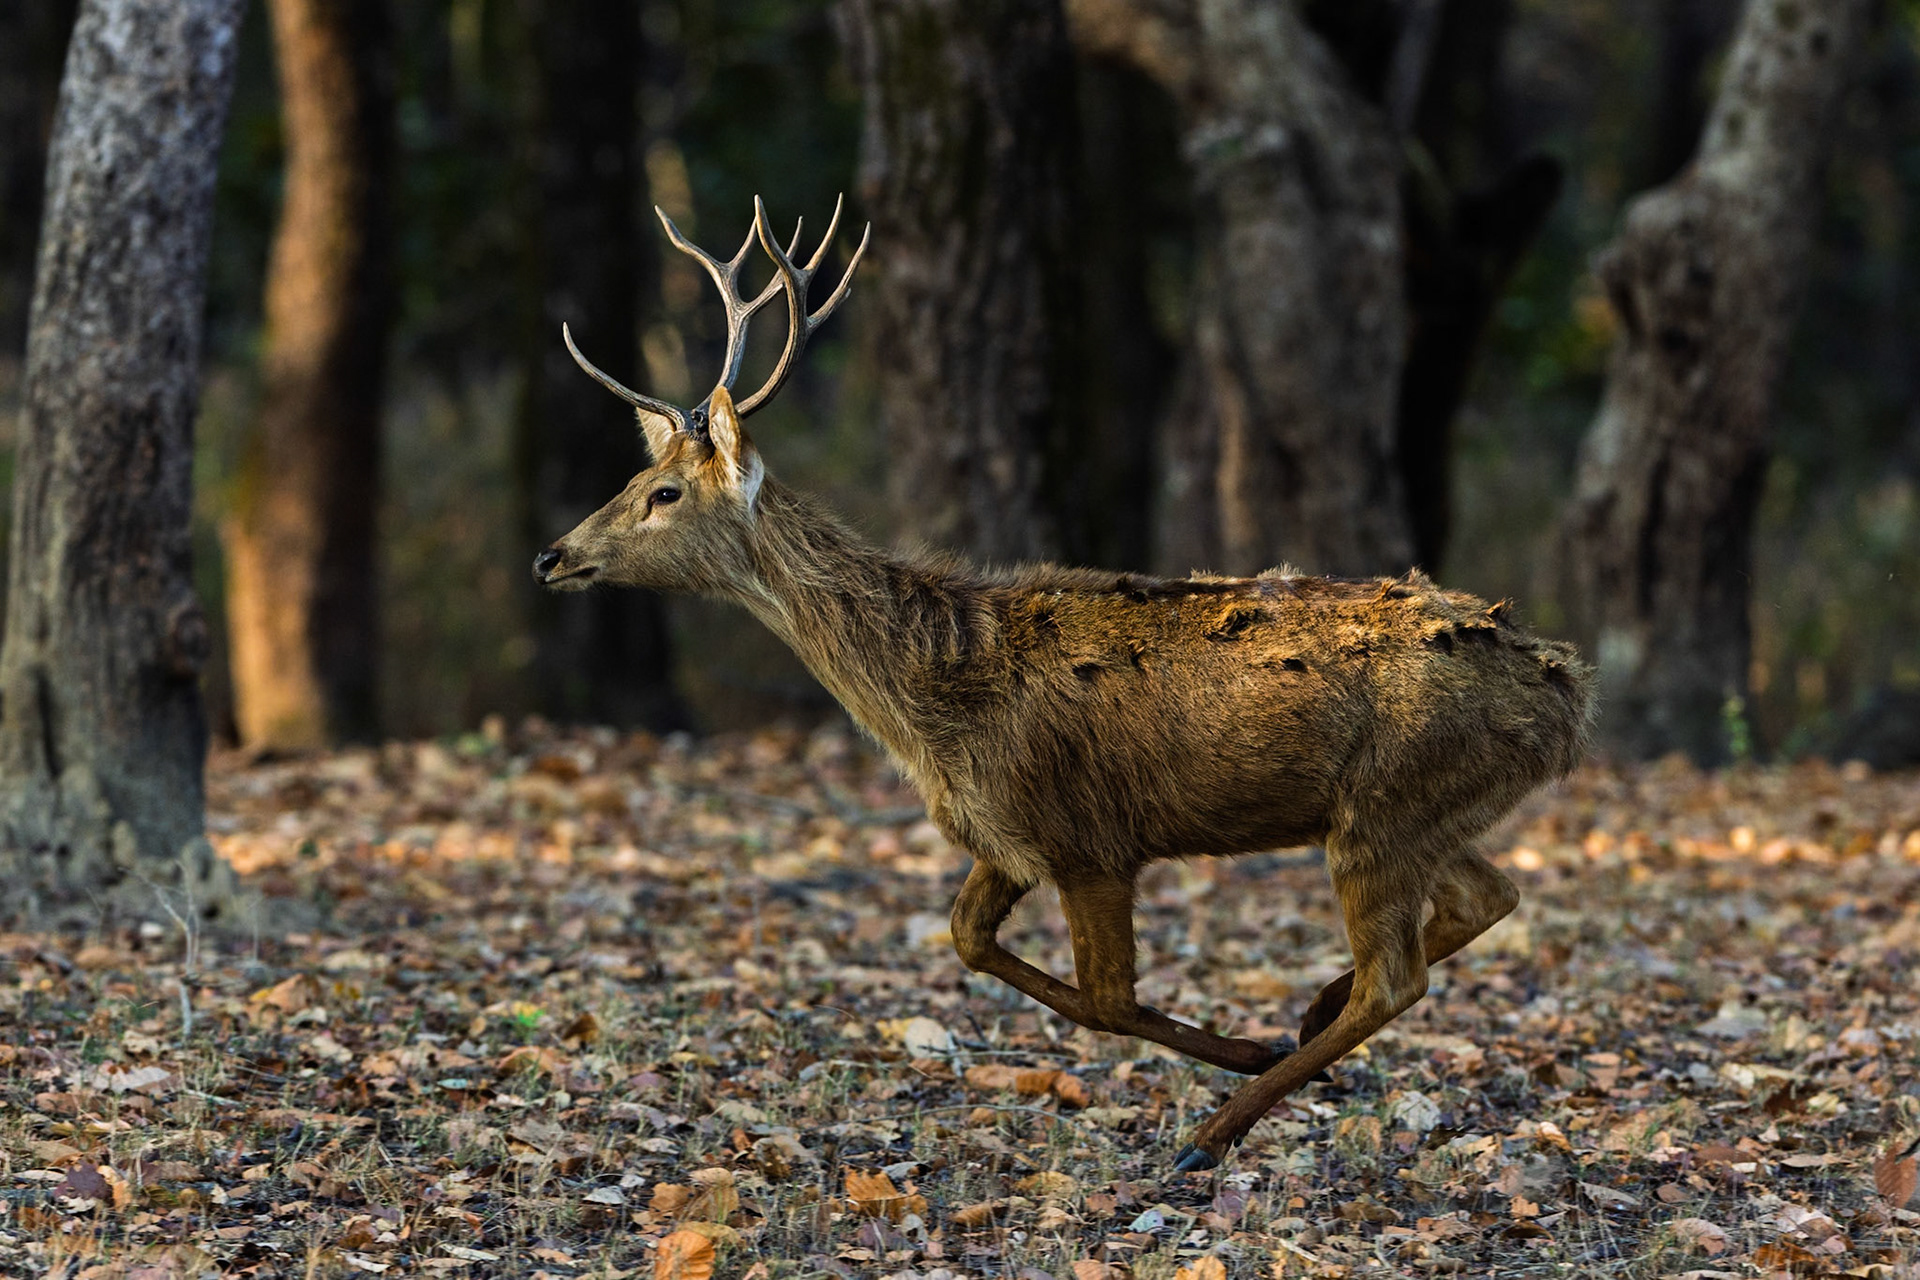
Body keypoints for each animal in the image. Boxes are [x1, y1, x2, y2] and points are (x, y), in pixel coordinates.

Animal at [534, 196, 1595, 1171]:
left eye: (662, 492)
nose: (552, 556)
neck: (939, 695)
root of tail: (1566, 691)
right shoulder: (1004, 837)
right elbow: (968, 941)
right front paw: (1257, 1039)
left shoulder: (1090, 838)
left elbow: (1104, 1000)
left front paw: (1243, 1051)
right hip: (1424, 810)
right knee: (1488, 897)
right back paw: (1305, 1015)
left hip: (1387, 802)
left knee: (1397, 977)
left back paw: (1215, 1128)